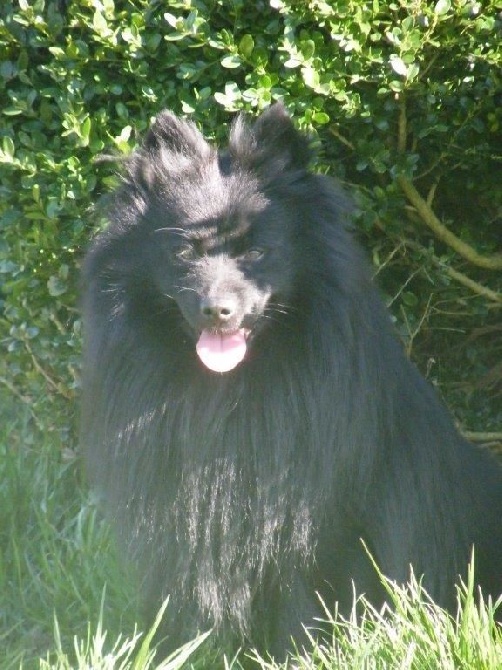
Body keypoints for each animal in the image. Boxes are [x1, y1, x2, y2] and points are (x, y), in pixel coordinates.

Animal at [82, 106, 502, 660]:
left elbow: (304, 601)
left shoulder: (314, 524)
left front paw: (299, 656)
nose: (218, 310)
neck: (230, 391)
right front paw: (171, 652)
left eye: (259, 252)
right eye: (184, 253)